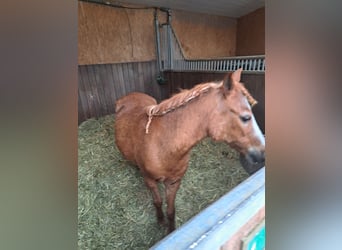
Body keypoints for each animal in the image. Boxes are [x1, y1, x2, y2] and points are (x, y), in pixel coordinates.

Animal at [115, 68, 264, 232]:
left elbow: (171, 210)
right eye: (245, 117)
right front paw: (160, 221)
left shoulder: (174, 182)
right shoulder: (150, 180)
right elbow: (158, 202)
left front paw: (171, 230)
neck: (163, 145)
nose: (262, 153)